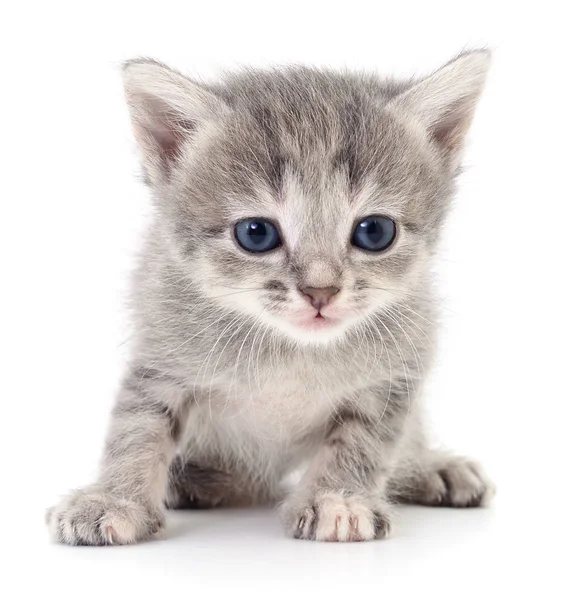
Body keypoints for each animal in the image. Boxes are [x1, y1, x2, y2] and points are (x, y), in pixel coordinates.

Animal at [49, 51, 498, 548]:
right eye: (256, 234)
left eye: (375, 231)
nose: (321, 290)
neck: (293, 352)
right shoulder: (162, 355)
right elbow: (137, 427)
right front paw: (114, 499)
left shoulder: (393, 376)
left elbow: (363, 440)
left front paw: (339, 499)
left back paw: (429, 467)